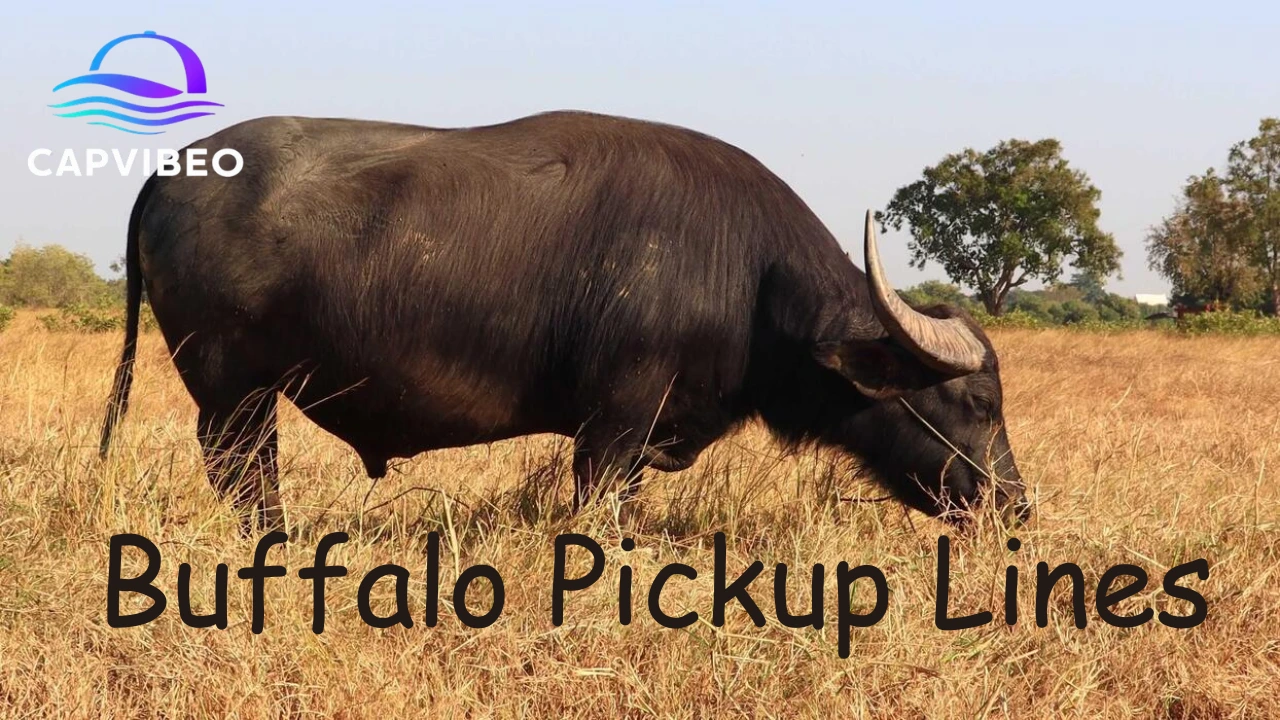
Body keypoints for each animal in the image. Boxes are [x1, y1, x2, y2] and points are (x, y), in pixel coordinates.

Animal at [98, 111, 1030, 530]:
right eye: (978, 405)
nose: (1014, 505)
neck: (752, 281)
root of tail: (178, 171)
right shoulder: (613, 428)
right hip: (234, 395)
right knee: (245, 475)